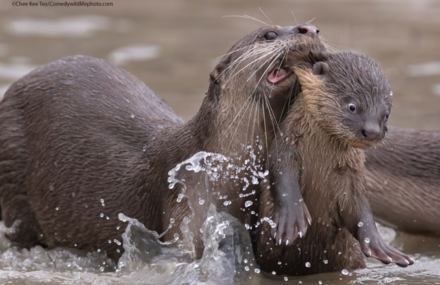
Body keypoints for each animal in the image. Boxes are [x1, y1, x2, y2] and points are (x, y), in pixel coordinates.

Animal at [256, 51, 414, 276]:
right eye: (352, 106)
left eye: (386, 114)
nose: (372, 131)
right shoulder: (285, 146)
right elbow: (282, 176)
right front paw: (292, 219)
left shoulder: (352, 174)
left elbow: (360, 208)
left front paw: (379, 246)